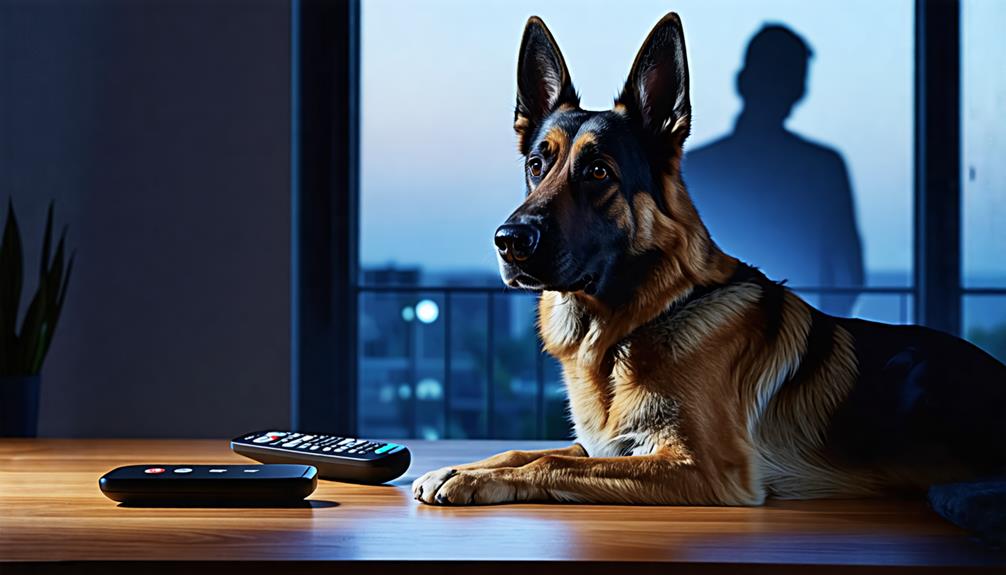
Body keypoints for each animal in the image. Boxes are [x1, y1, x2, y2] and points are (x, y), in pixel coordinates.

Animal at [410, 12, 1006, 512]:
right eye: (537, 165)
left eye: (599, 171)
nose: (508, 240)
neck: (637, 323)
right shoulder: (613, 444)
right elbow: (531, 451)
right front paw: (461, 467)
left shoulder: (700, 467)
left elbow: (554, 463)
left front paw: (472, 478)